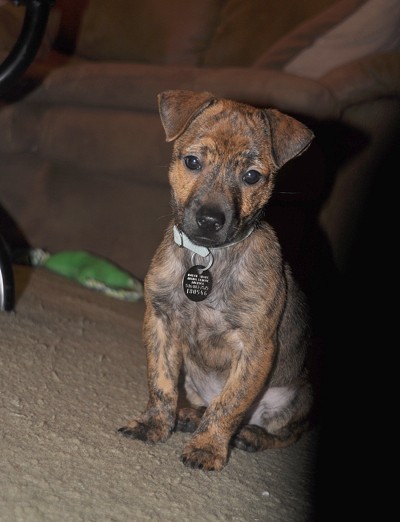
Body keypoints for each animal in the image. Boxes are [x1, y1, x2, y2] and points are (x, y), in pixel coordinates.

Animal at [119, 89, 316, 472]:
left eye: (252, 176)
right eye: (192, 162)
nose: (210, 220)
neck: (208, 257)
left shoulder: (256, 347)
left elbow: (230, 404)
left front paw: (208, 447)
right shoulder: (159, 322)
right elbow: (160, 383)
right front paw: (155, 424)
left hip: (297, 396)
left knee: (288, 432)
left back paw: (252, 436)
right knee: (203, 402)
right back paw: (189, 415)